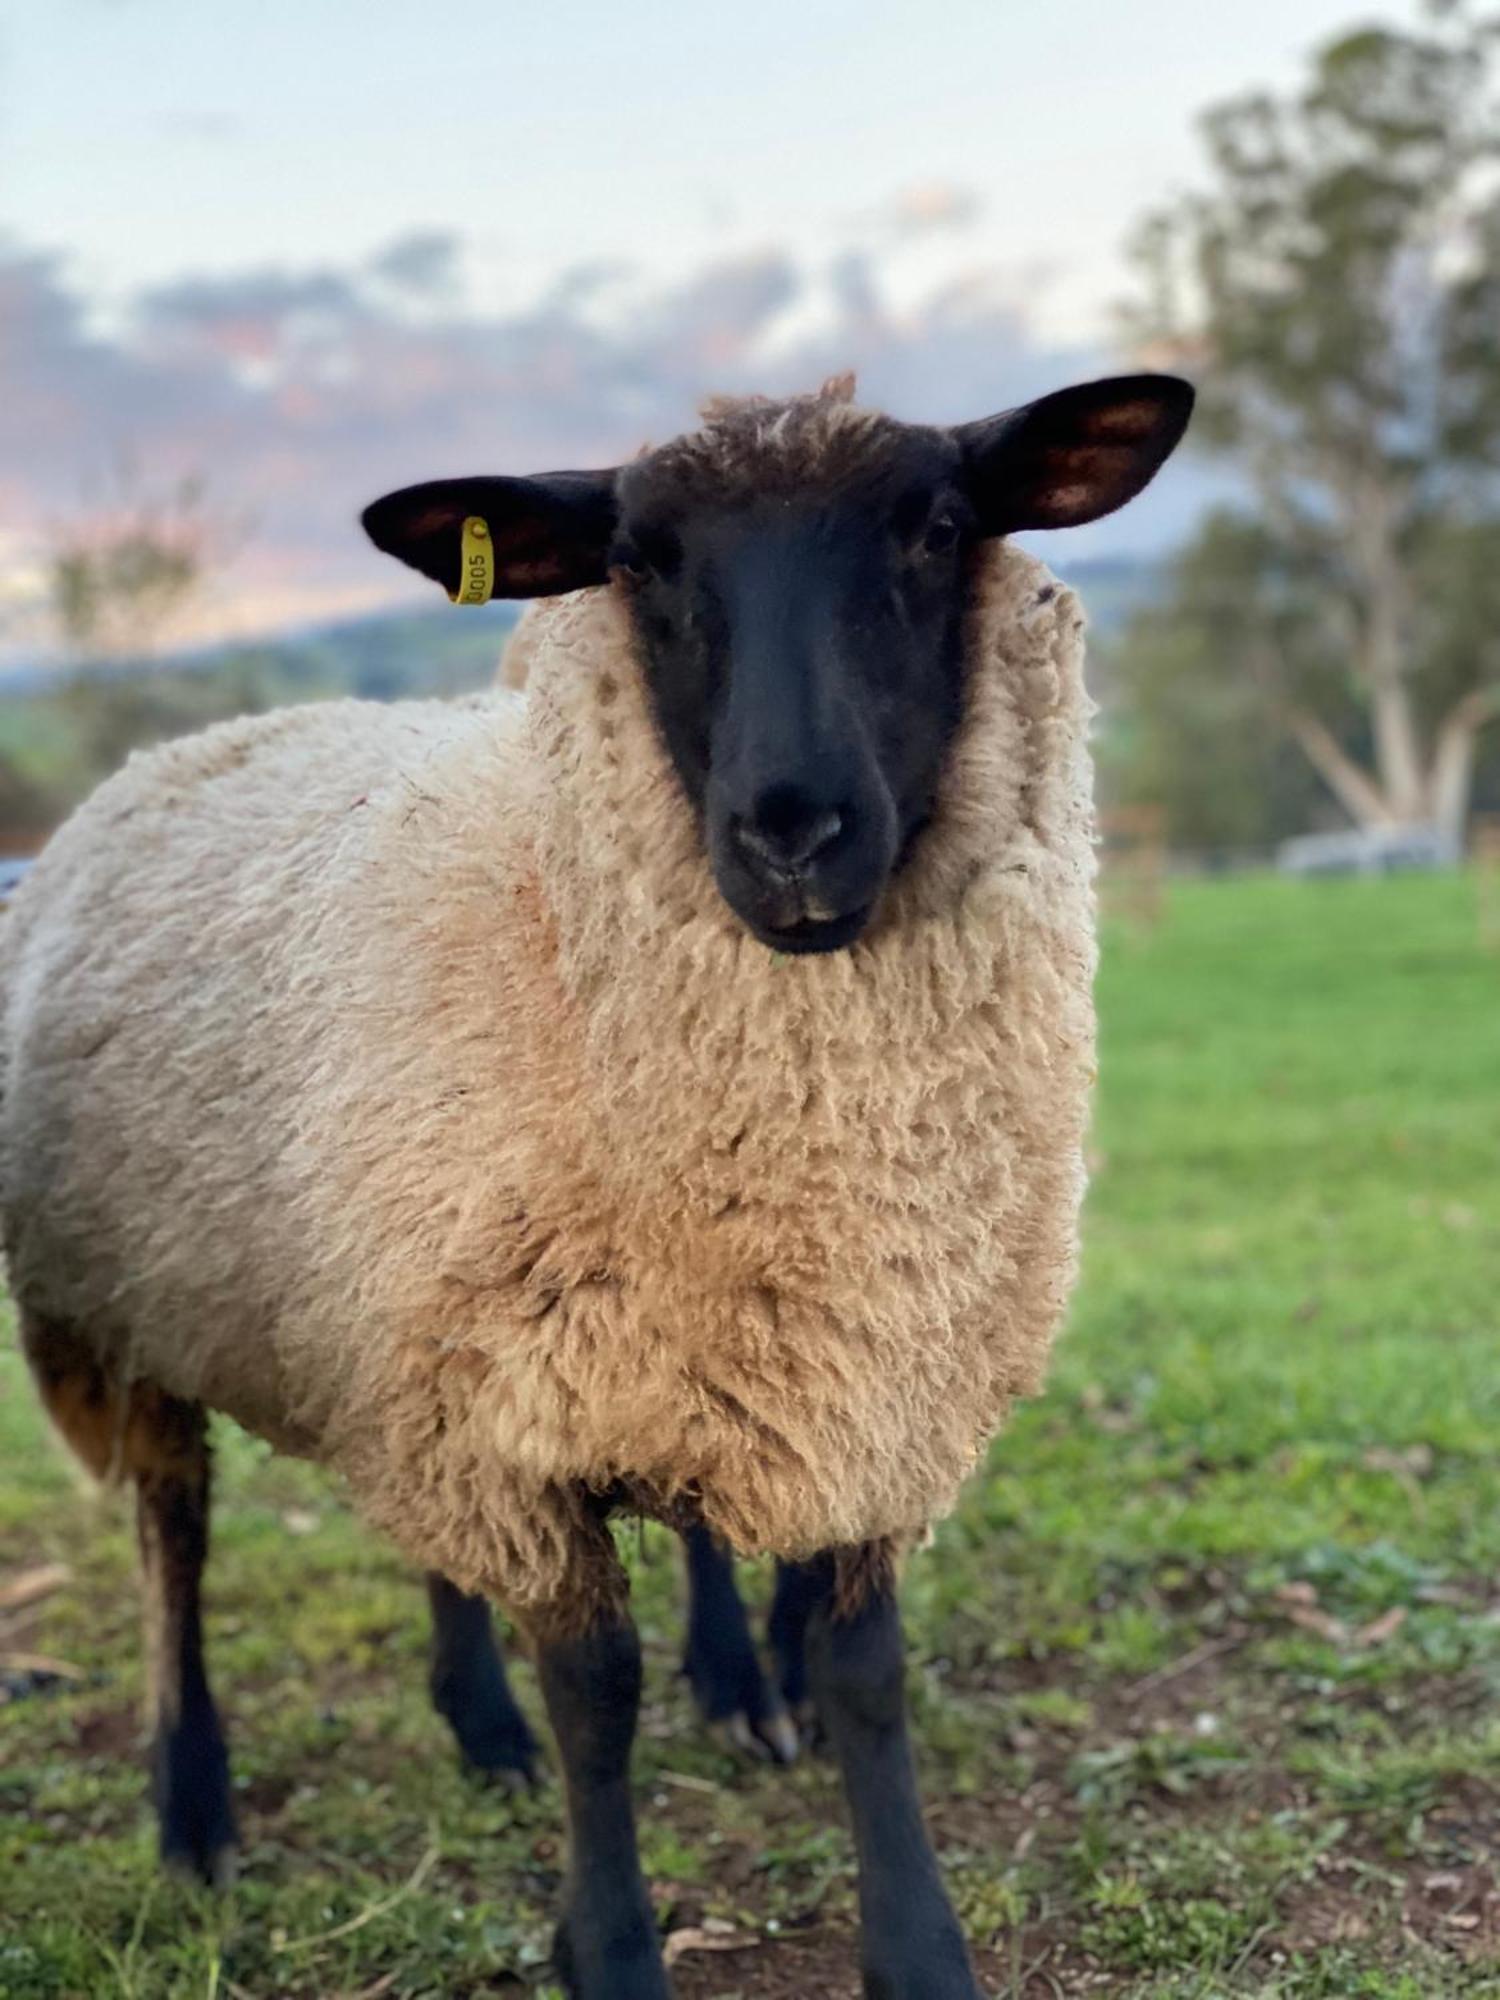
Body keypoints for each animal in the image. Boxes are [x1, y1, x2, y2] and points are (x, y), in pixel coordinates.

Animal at [0, 368, 1200, 1992]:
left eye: (940, 526)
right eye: (637, 561)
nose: (792, 827)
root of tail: (173, 751)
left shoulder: (861, 1369)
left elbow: (866, 1666)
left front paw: (915, 1941)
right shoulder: (518, 1406)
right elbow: (600, 1692)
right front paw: (615, 1946)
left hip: (388, 1324)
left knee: (436, 1540)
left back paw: (495, 1722)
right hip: (138, 1308)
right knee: (172, 1539)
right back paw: (193, 1812)